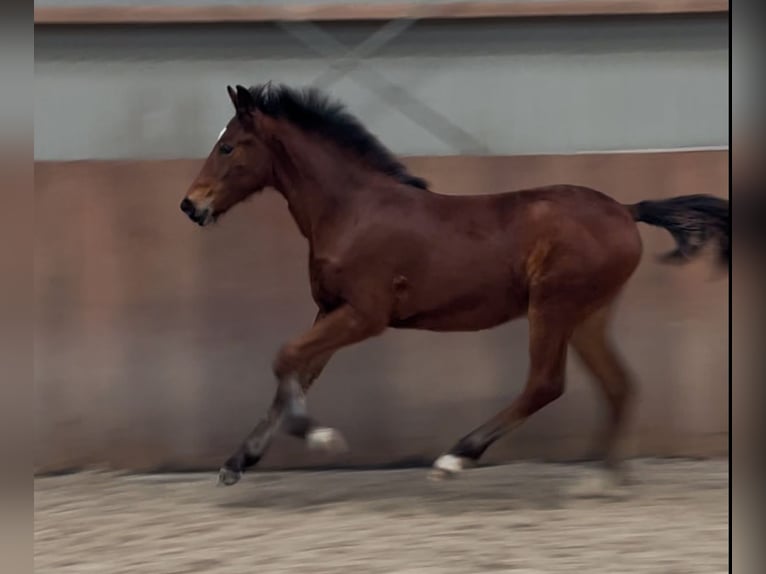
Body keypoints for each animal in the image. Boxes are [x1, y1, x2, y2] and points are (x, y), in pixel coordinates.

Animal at [182, 84, 732, 490]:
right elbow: (297, 370)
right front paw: (237, 461)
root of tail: (625, 209)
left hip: (554, 305)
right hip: (588, 315)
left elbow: (285, 358)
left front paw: (318, 437)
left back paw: (455, 458)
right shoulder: (330, 310)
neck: (353, 211)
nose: (191, 205)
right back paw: (606, 477)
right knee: (618, 383)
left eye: (227, 146)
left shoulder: (365, 315)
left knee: (546, 383)